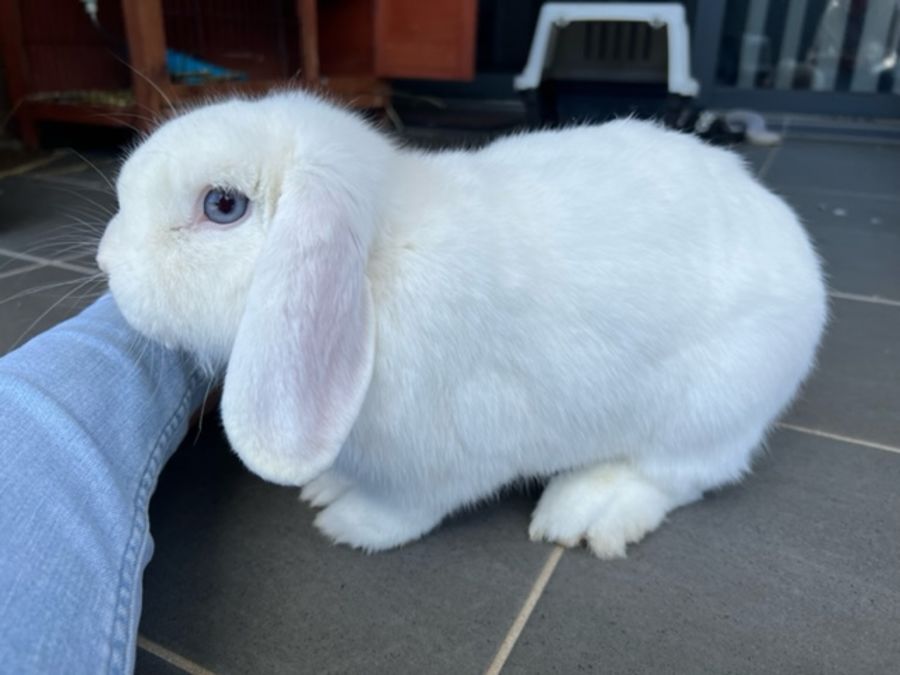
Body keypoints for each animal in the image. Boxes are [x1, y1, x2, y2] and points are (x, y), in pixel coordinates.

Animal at [97, 91, 827, 558]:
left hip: (708, 408)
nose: (106, 259)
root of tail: (802, 260)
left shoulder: (447, 458)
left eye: (223, 206)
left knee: (681, 473)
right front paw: (327, 486)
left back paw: (583, 513)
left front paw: (348, 522)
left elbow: (407, 510)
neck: (374, 273)